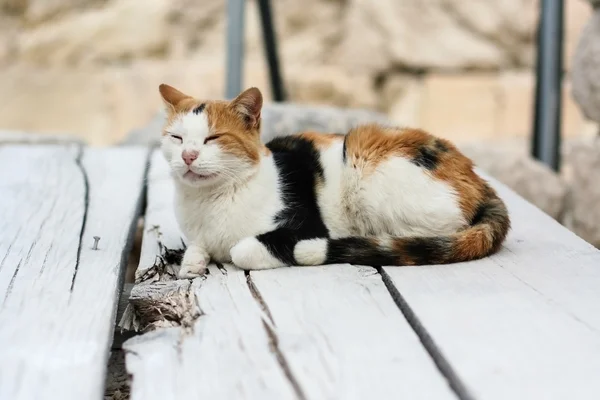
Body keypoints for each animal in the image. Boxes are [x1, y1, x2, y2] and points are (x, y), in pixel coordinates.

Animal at [157, 83, 508, 278]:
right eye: (176, 138)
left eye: (213, 138)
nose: (188, 155)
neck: (210, 202)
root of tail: (477, 177)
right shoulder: (198, 235)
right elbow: (196, 247)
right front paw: (192, 264)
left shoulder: (304, 226)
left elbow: (240, 251)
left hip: (362, 159)